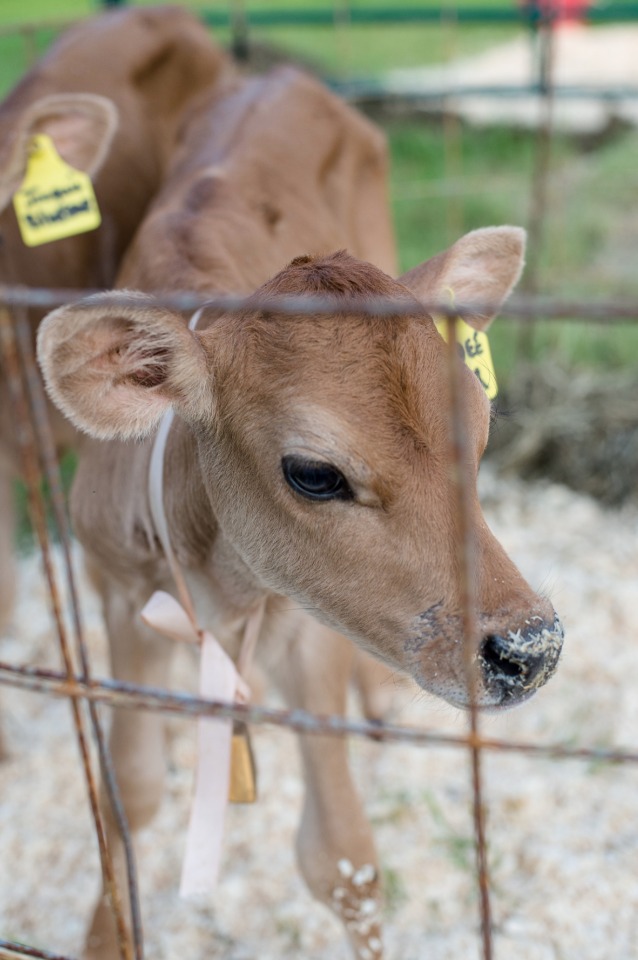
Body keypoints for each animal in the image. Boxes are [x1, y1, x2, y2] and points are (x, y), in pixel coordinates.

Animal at [37, 65, 563, 960]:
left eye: (482, 430)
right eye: (314, 474)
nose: (531, 648)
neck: (221, 577)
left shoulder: (311, 627)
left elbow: (342, 856)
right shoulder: (121, 594)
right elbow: (128, 794)